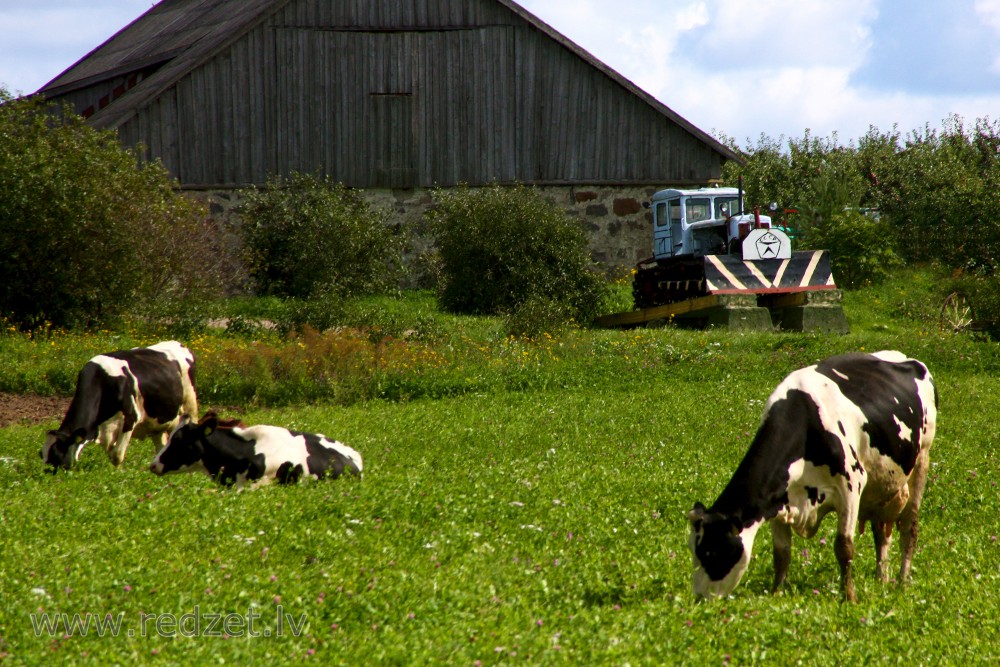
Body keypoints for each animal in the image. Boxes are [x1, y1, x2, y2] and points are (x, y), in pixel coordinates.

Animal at [688, 352, 936, 604]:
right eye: (693, 551)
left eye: (712, 552)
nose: (699, 599)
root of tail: (907, 359)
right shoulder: (778, 498)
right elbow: (781, 553)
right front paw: (776, 593)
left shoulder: (851, 485)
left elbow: (844, 547)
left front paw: (850, 597)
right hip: (881, 486)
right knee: (881, 532)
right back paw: (881, 579)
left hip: (922, 458)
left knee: (909, 527)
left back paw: (902, 581)